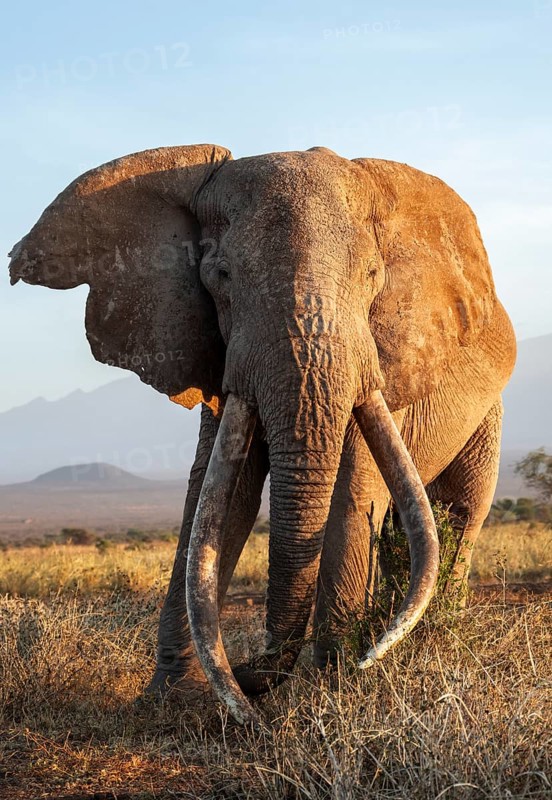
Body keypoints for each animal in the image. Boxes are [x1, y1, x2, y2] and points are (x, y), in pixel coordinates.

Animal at [8, 144, 516, 725]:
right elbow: (220, 499)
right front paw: (174, 703)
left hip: (488, 411)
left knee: (459, 510)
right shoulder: (215, 354)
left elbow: (352, 492)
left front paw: (333, 693)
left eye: (372, 275)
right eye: (221, 274)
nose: (252, 679)